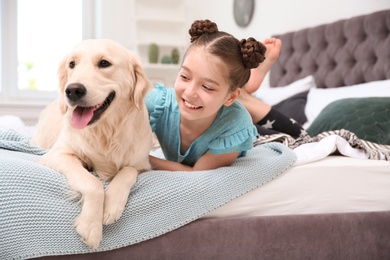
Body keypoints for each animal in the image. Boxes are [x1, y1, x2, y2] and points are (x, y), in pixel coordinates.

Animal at [31, 38, 153, 248]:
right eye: (72, 64)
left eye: (104, 63)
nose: (72, 90)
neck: (105, 132)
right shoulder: (57, 154)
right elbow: (93, 183)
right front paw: (91, 226)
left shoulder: (142, 164)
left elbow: (127, 172)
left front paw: (111, 204)